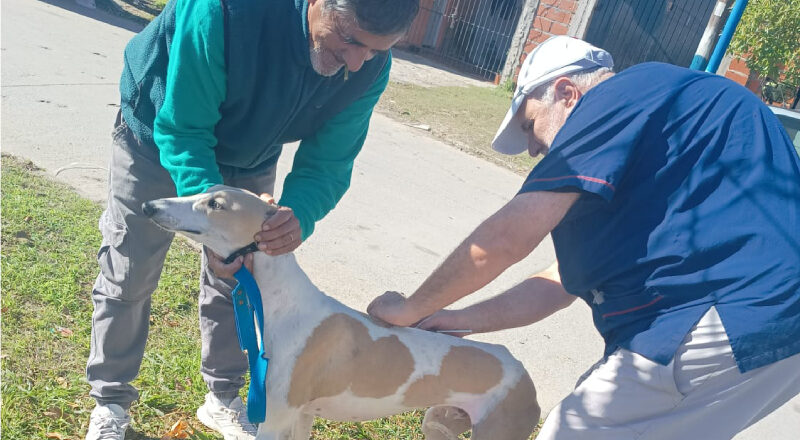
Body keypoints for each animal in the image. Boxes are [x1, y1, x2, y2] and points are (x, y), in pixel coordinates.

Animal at [145, 186, 536, 440]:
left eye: (215, 203)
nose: (149, 206)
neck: (285, 304)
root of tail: (524, 374)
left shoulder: (275, 418)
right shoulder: (301, 416)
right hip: (440, 423)